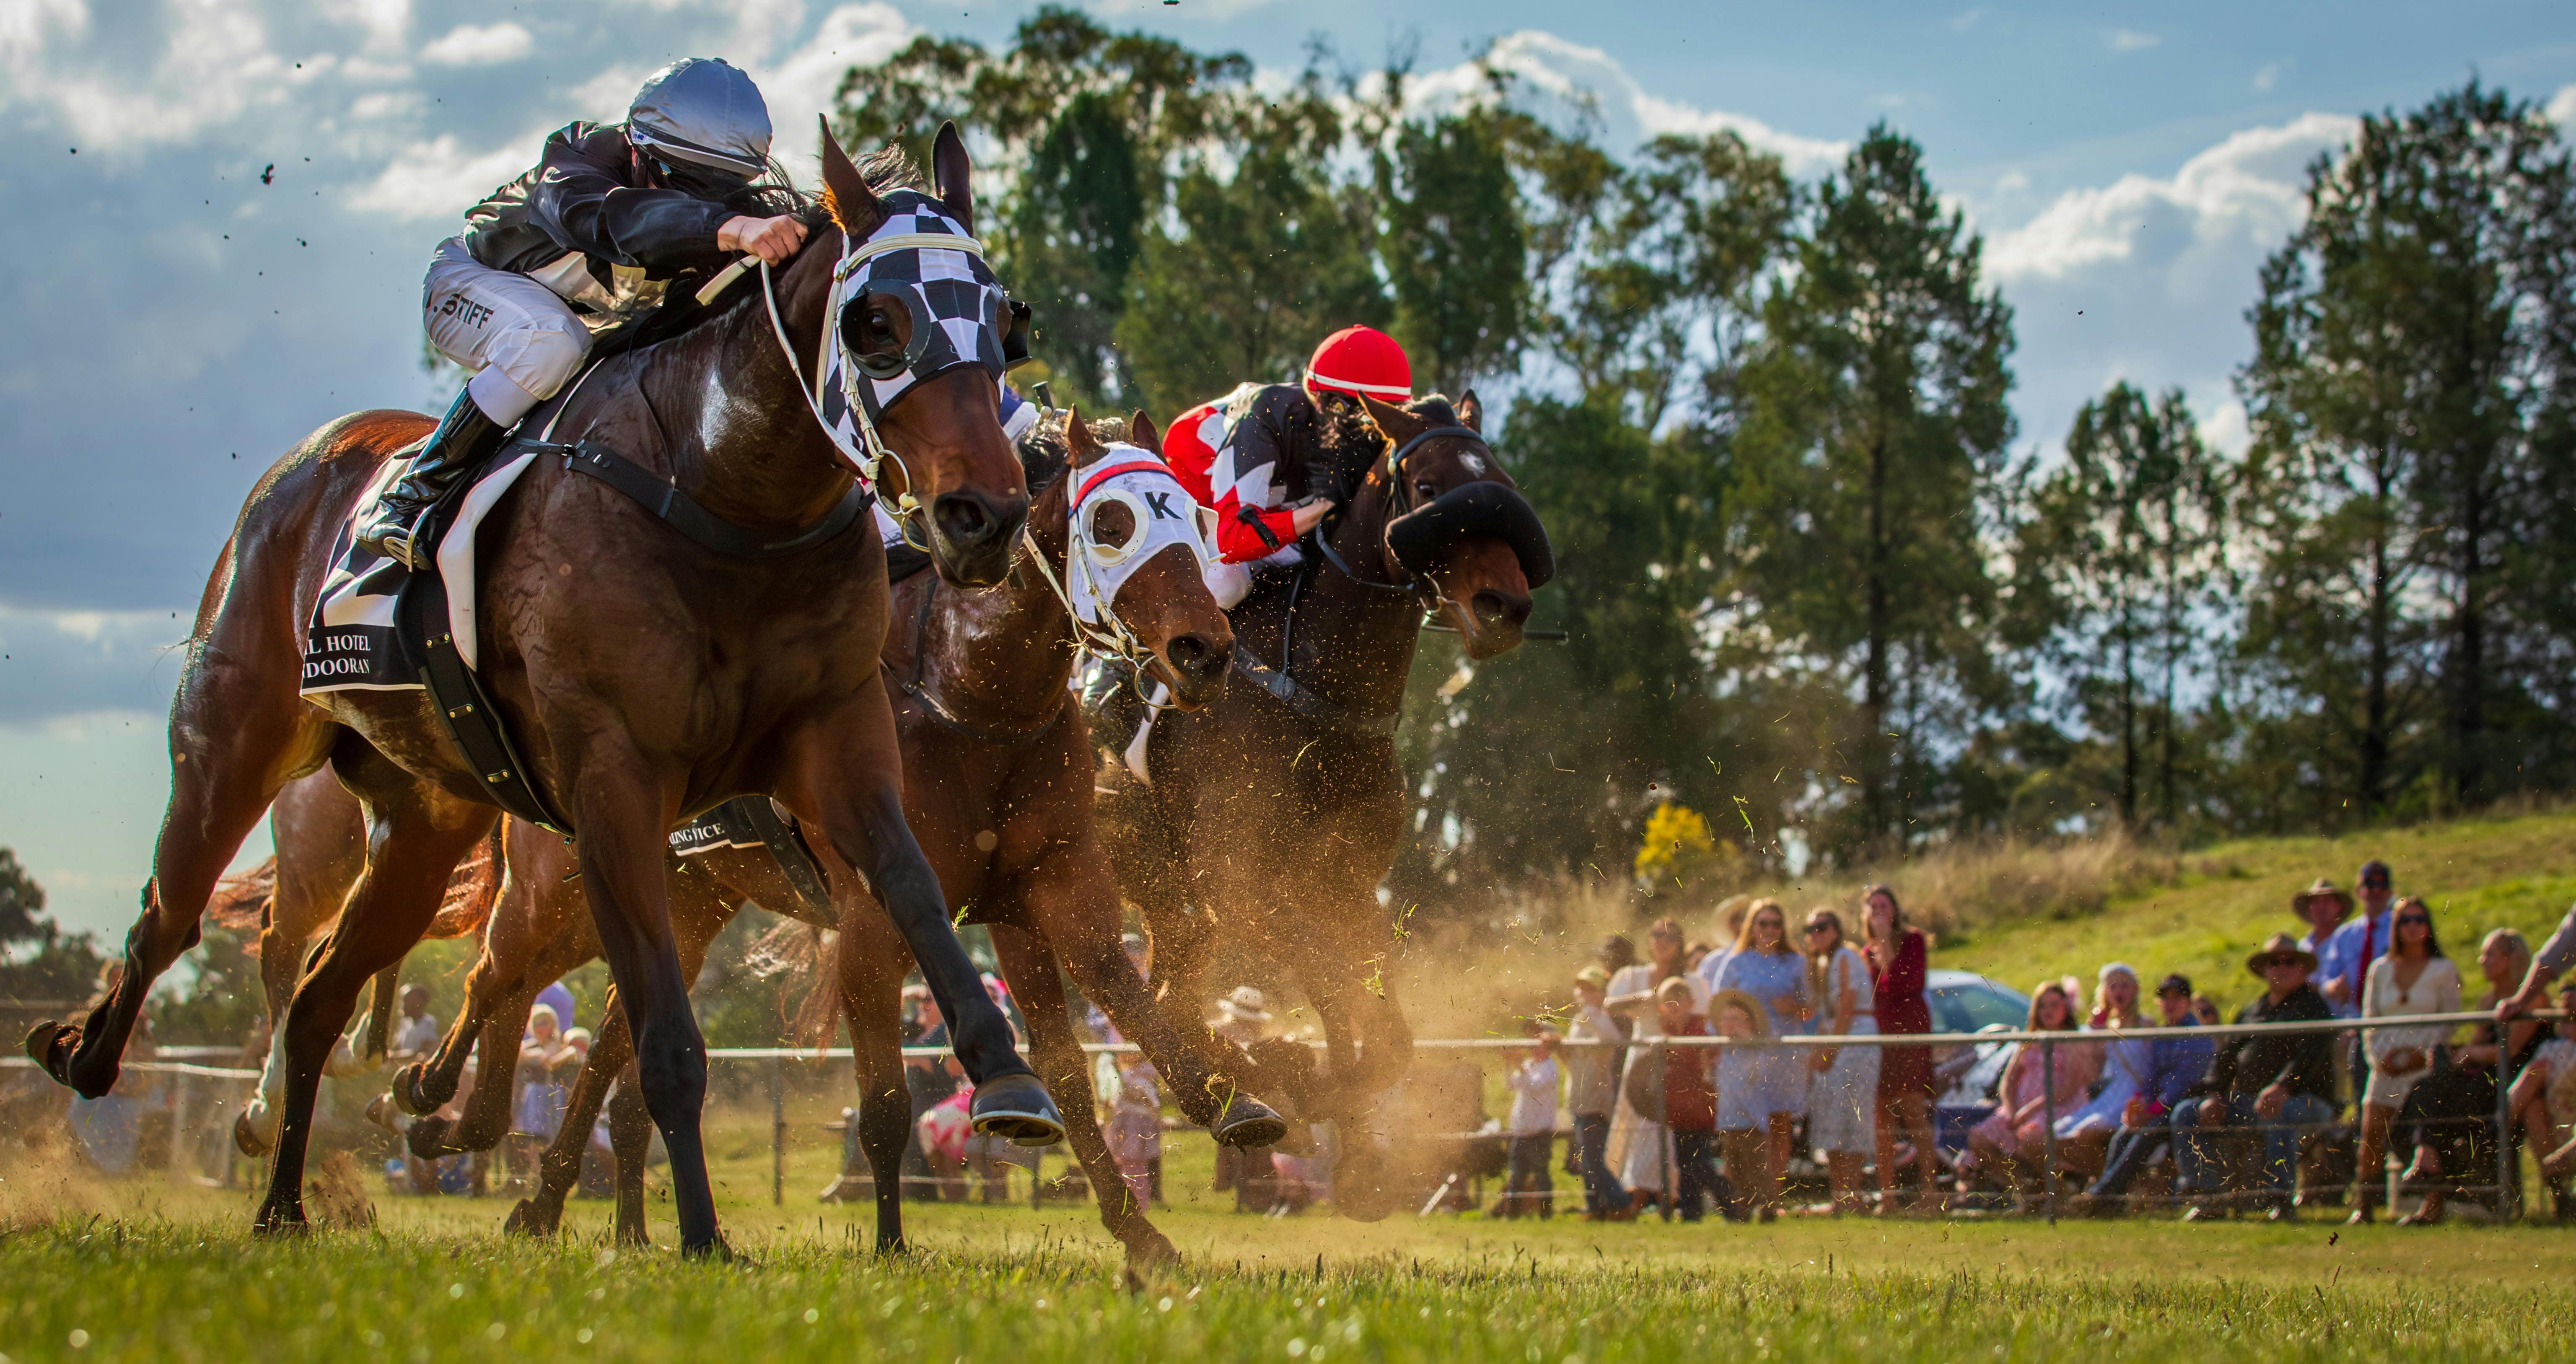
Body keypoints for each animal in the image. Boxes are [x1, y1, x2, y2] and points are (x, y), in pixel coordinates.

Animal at [23, 121, 1062, 1255]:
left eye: (1006, 322)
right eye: (878, 324)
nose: (983, 515)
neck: (722, 489)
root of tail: (307, 461)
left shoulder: (838, 738)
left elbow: (910, 887)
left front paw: (1010, 1079)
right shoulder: (614, 780)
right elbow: (663, 1040)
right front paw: (702, 1235)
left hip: (424, 822)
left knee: (317, 999)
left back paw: (287, 1201)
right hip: (234, 737)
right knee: (169, 914)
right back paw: (88, 1054)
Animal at [355, 408, 1280, 1264]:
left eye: (1193, 518)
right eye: (1112, 522)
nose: (1203, 648)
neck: (972, 699)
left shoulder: (1046, 885)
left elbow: (1100, 1018)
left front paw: (1200, 1140)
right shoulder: (874, 918)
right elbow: (886, 1105)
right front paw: (891, 1242)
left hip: (687, 904)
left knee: (603, 1047)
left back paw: (562, 1205)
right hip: (566, 883)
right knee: (496, 974)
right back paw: (438, 1101)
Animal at [1094, 391, 1550, 1220]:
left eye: (1498, 483)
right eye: (1429, 489)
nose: (1505, 606)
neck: (1317, 699)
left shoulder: (1344, 883)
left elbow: (1378, 1024)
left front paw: (1357, 1148)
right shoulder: (1245, 890)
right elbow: (1332, 986)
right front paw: (1293, 1071)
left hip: (1165, 895)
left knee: (1170, 992)